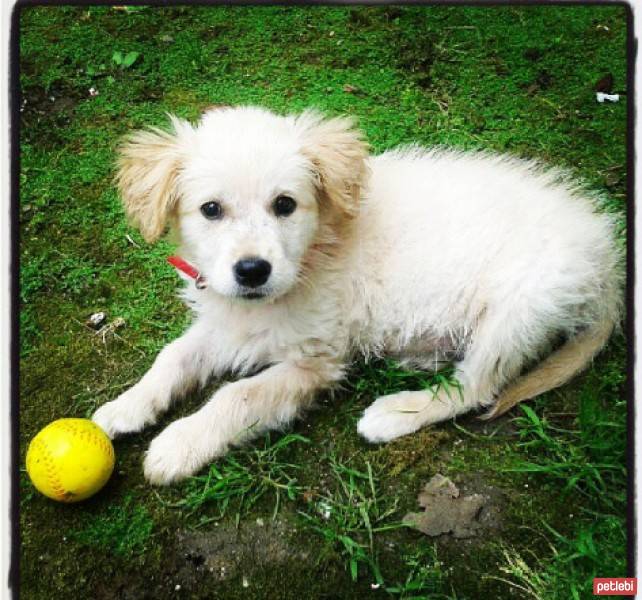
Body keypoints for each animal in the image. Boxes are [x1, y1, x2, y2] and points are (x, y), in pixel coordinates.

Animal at [91, 105, 620, 486]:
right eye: (211, 210)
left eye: (285, 204)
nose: (252, 271)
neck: (313, 256)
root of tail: (605, 260)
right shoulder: (228, 321)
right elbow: (173, 357)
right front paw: (127, 405)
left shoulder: (315, 361)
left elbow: (238, 395)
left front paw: (179, 444)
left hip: (516, 309)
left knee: (476, 388)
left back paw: (396, 413)